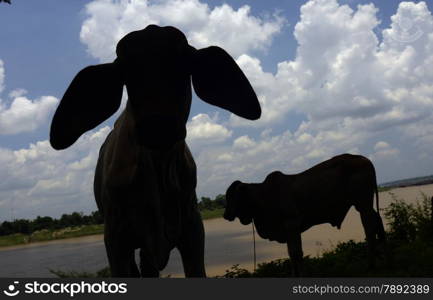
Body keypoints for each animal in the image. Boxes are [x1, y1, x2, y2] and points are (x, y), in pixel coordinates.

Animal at [223, 154, 384, 276]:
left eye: (232, 196)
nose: (225, 215)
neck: (263, 196)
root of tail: (365, 159)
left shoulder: (292, 224)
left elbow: (296, 253)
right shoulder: (287, 230)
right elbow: (291, 254)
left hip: (363, 203)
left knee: (369, 229)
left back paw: (371, 265)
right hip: (364, 205)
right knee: (378, 222)